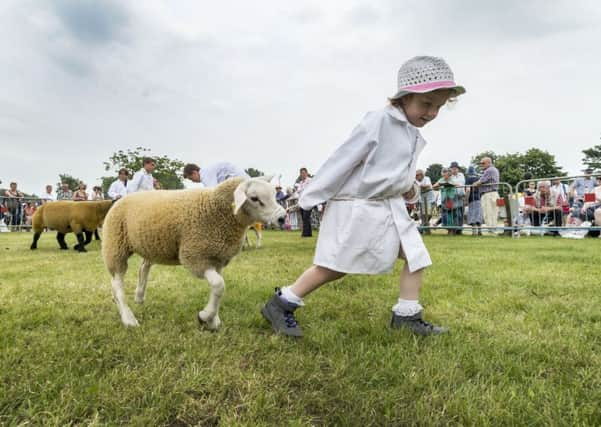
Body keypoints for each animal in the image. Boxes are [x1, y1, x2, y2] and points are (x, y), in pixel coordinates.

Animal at [101, 177, 286, 332]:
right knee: (117, 284)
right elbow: (219, 285)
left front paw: (213, 320)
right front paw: (205, 316)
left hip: (151, 244)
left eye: (274, 194)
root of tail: (122, 198)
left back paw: (139, 296)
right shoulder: (194, 256)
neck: (217, 210)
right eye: (254, 198)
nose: (282, 218)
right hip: (115, 246)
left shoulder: (217, 260)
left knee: (143, 268)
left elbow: (218, 289)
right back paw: (128, 318)